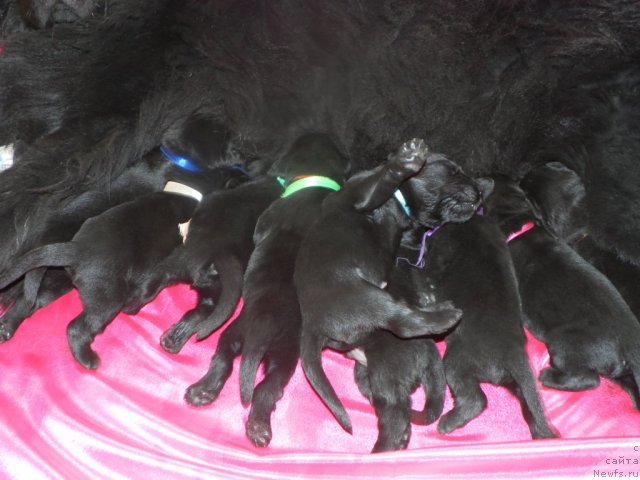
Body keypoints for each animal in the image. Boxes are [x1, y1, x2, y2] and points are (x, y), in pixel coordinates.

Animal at [126, 174, 282, 354]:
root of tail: (222, 253)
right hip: (214, 290)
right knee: (200, 312)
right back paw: (173, 340)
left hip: (175, 262)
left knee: (148, 288)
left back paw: (130, 306)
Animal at [182, 133, 350, 448]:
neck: (314, 181)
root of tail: (264, 326)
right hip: (265, 348)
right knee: (251, 378)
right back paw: (236, 410)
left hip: (255, 341)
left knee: (240, 373)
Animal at [296, 140, 490, 436]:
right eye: (453, 171)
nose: (479, 192)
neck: (400, 205)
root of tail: (311, 326)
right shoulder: (359, 195)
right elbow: (379, 183)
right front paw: (406, 160)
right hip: (367, 297)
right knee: (403, 322)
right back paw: (446, 315)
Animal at [424, 192, 556, 438]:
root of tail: (514, 354)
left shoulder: (440, 250)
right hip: (516, 385)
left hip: (456, 362)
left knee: (475, 400)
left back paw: (448, 422)